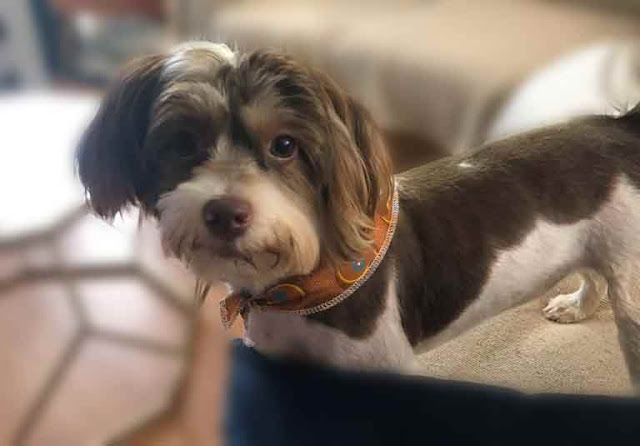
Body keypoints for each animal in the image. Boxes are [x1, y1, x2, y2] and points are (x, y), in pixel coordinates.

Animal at [75, 43, 640, 388]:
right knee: (594, 271)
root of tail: (619, 127)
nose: (224, 212)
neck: (300, 286)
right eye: (182, 145)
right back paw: (577, 305)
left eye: (285, 146)